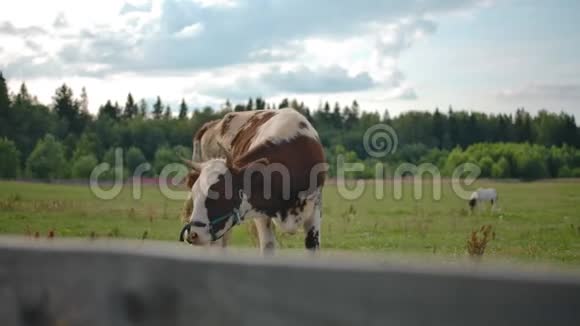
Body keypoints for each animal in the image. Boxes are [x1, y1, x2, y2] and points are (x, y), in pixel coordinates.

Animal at [179, 109, 326, 252]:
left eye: (220, 193)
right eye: (195, 193)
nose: (193, 234)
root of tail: (211, 124)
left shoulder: (315, 209)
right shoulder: (261, 215)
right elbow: (268, 246)